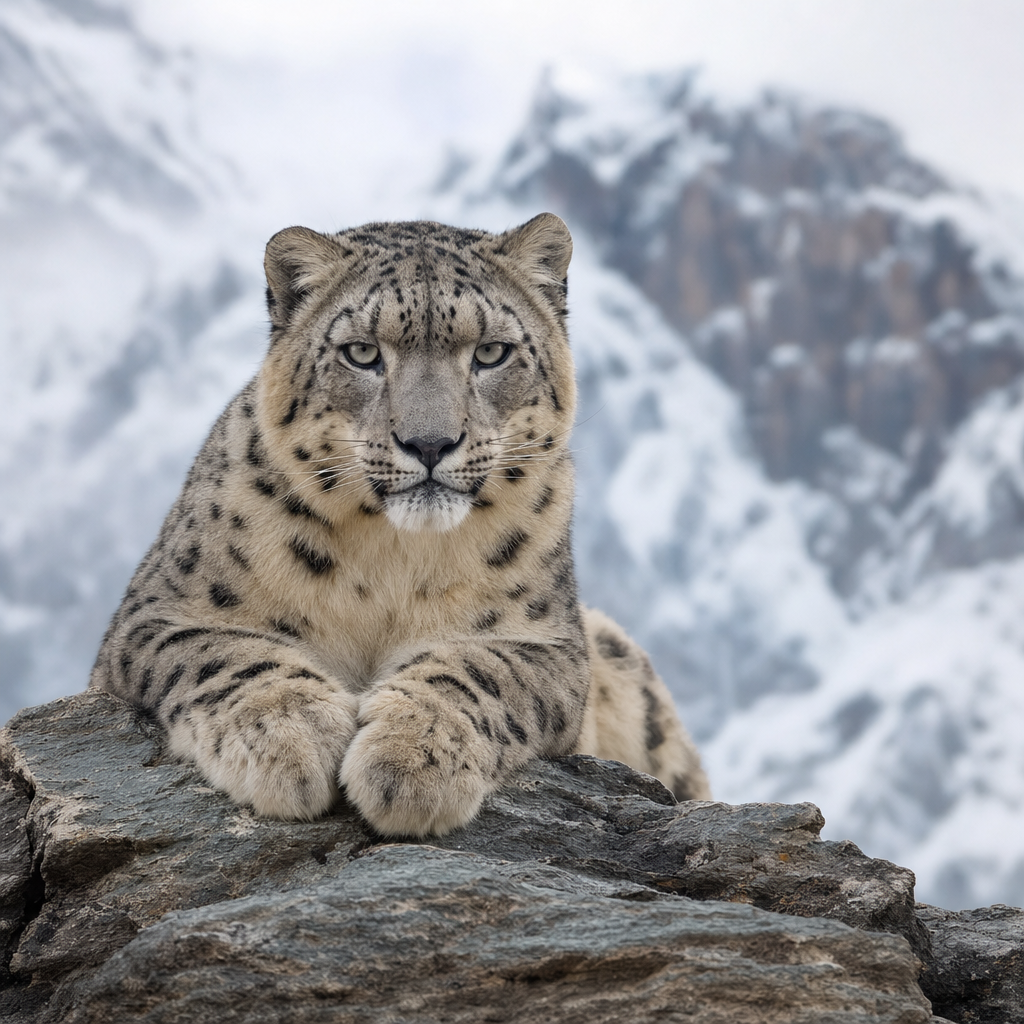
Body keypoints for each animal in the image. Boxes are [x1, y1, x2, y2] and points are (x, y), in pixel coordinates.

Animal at [90, 213, 710, 836]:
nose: (429, 443)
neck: (389, 560)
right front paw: (291, 738)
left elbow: (478, 668)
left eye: (491, 352)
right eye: (362, 352)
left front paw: (410, 761)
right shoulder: (161, 613)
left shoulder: (547, 640)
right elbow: (229, 654)